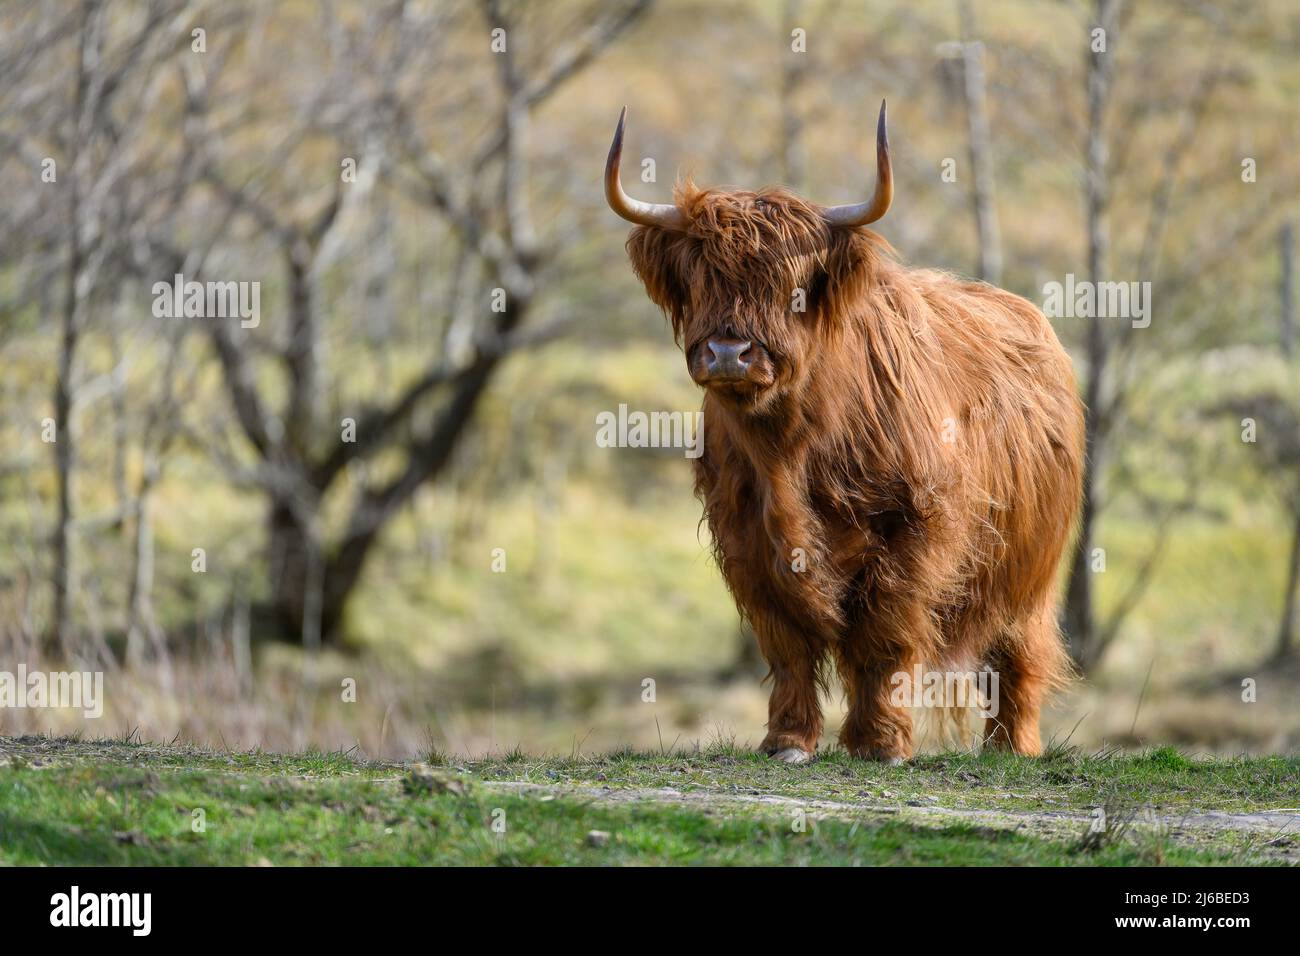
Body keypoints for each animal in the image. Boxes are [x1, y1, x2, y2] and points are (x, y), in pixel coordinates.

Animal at [604, 102, 1084, 763]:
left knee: (1020, 652)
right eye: (699, 276)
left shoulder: (917, 526)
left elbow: (883, 632)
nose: (729, 353)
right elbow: (786, 641)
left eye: (792, 287)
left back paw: (1013, 745)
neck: (790, 450)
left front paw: (880, 742)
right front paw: (788, 739)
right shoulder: (744, 533)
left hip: (1030, 566)